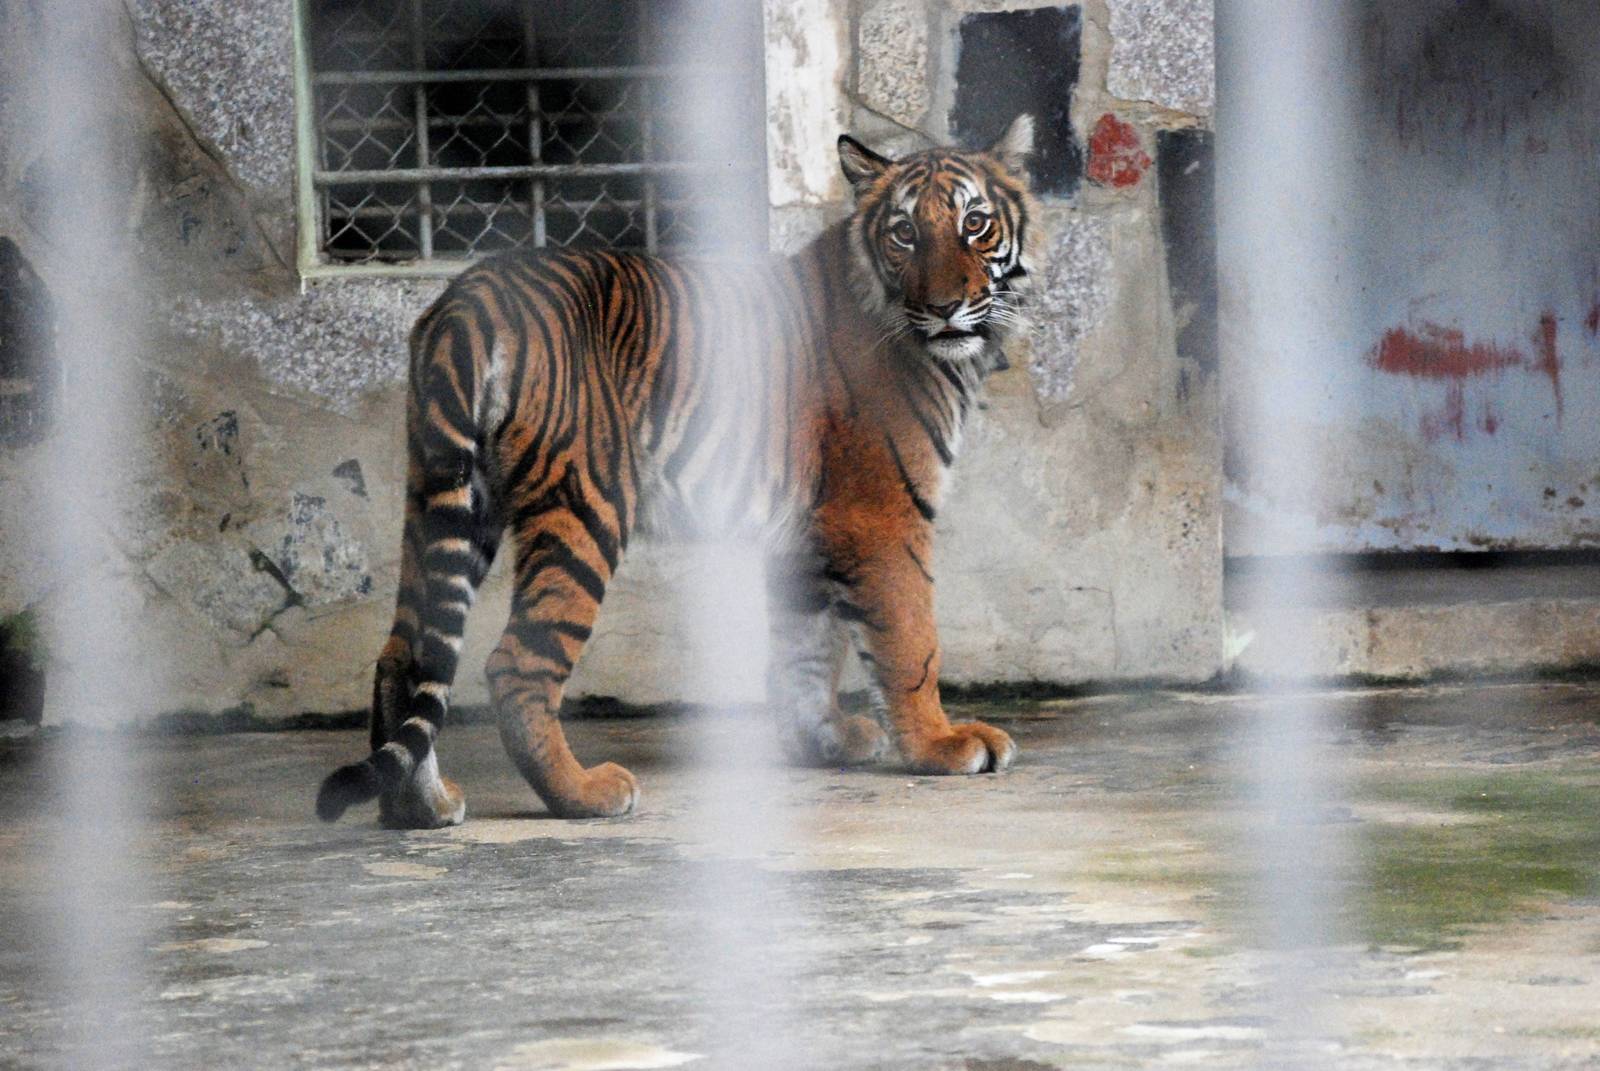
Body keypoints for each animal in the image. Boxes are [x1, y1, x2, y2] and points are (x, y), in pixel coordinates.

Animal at [317, 115, 1041, 828]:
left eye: (975, 223)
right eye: (904, 232)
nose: (945, 307)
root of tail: (466, 298)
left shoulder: (811, 528)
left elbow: (807, 646)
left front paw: (824, 738)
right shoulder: (881, 514)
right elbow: (909, 639)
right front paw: (941, 744)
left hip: (448, 497)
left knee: (405, 654)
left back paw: (421, 807)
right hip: (585, 501)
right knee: (516, 664)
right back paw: (583, 793)